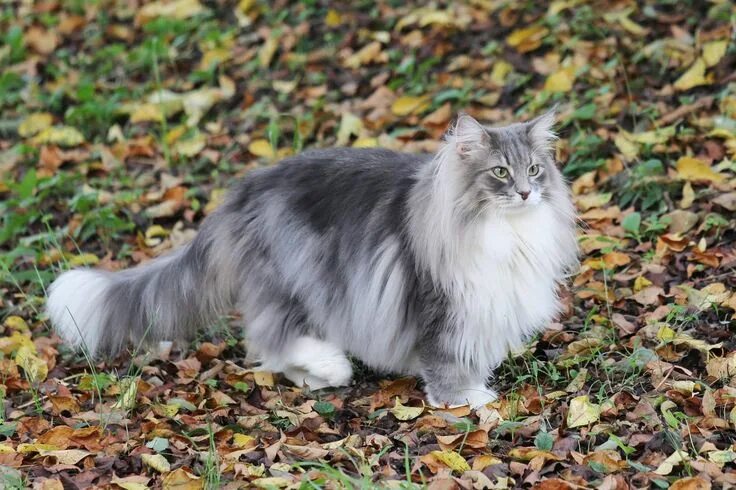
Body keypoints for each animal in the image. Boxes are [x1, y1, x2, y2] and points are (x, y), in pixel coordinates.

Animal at [46, 113, 576, 408]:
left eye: (534, 169)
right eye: (500, 173)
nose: (526, 192)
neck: (505, 234)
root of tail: (243, 191)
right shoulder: (439, 305)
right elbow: (447, 361)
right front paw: (465, 401)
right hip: (292, 279)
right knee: (271, 338)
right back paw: (331, 366)